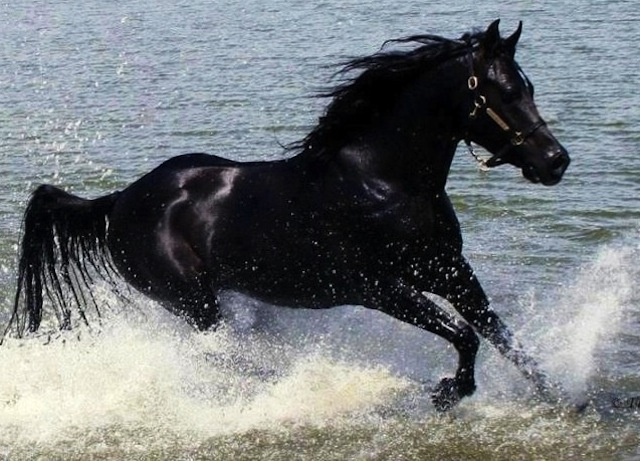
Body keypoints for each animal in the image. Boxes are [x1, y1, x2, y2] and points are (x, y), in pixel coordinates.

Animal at [5, 20, 570, 411]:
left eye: (529, 87)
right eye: (502, 92)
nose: (555, 161)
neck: (382, 181)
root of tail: (119, 201)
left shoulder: (448, 270)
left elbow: (500, 333)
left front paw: (563, 395)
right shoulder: (381, 288)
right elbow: (466, 335)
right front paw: (448, 393)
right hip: (192, 302)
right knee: (224, 353)